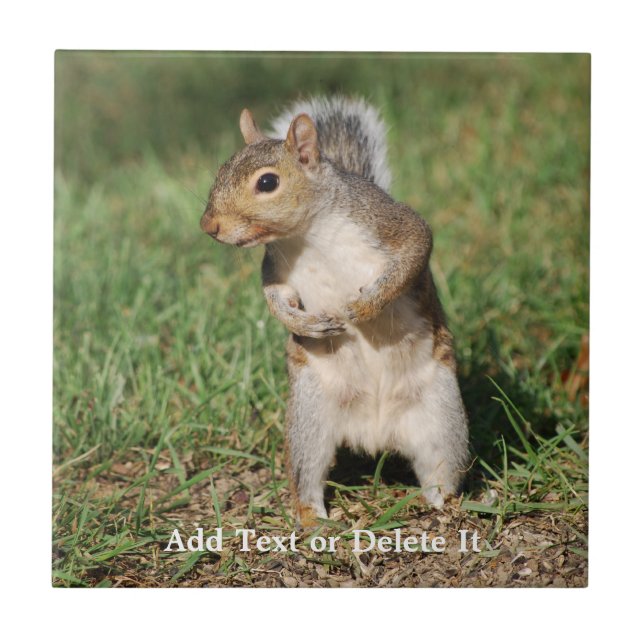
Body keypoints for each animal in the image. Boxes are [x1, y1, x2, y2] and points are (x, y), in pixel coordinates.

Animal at [200, 96, 469, 526]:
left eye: (267, 183)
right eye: (221, 170)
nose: (208, 225)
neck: (307, 236)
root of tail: (376, 434)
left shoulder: (388, 222)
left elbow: (415, 248)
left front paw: (362, 307)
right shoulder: (275, 269)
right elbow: (275, 299)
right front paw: (304, 323)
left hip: (442, 419)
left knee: (441, 470)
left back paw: (442, 506)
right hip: (309, 419)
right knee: (308, 473)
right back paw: (312, 520)